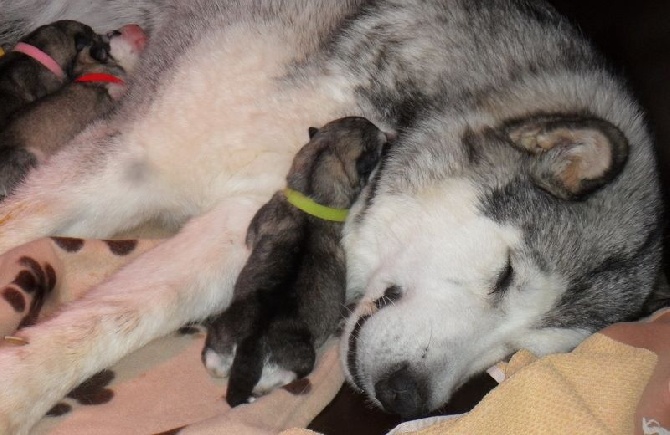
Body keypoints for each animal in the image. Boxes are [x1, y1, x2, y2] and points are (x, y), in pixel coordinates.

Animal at [203, 116, 388, 408]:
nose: (383, 130)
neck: (312, 196)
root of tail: (252, 341)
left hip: (220, 335)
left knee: (214, 361)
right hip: (301, 358)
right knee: (285, 375)